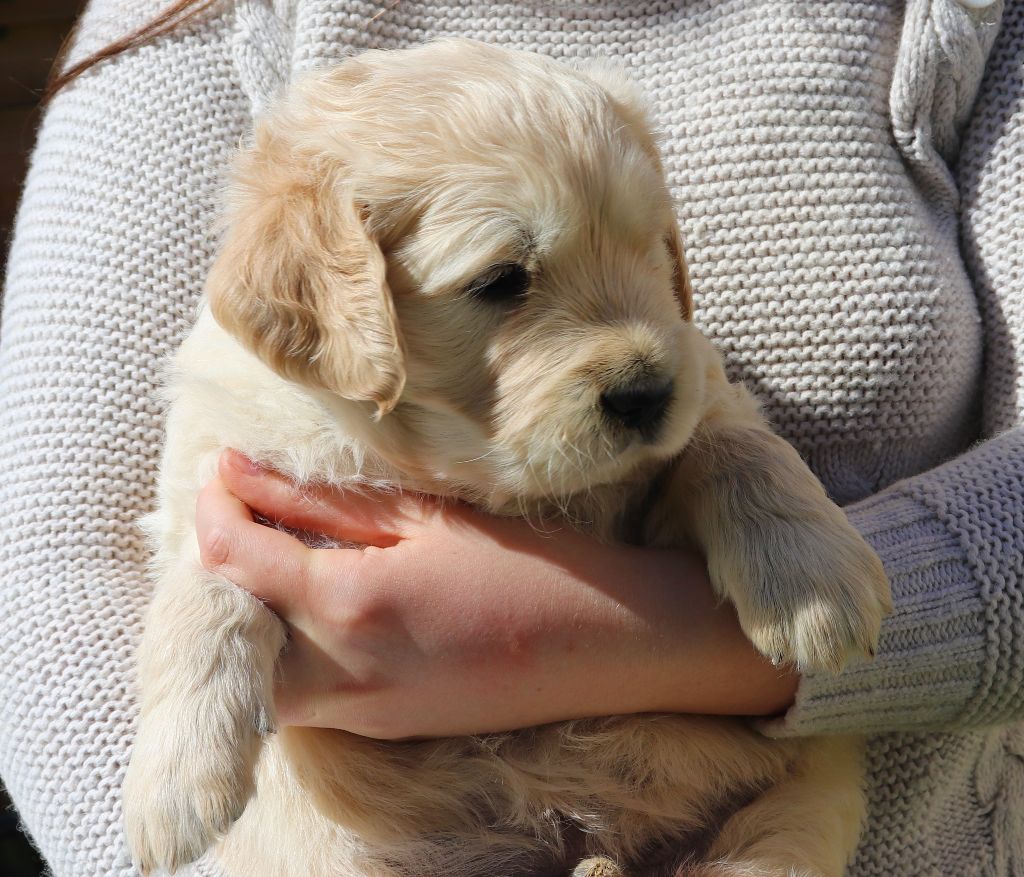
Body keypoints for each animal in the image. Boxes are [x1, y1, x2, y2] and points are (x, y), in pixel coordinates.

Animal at [122, 39, 891, 877]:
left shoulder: (691, 396)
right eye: (501, 281)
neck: (461, 469)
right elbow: (204, 580)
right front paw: (173, 776)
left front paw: (813, 585)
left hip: (791, 812)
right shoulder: (226, 467)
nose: (647, 392)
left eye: (649, 245)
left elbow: (730, 441)